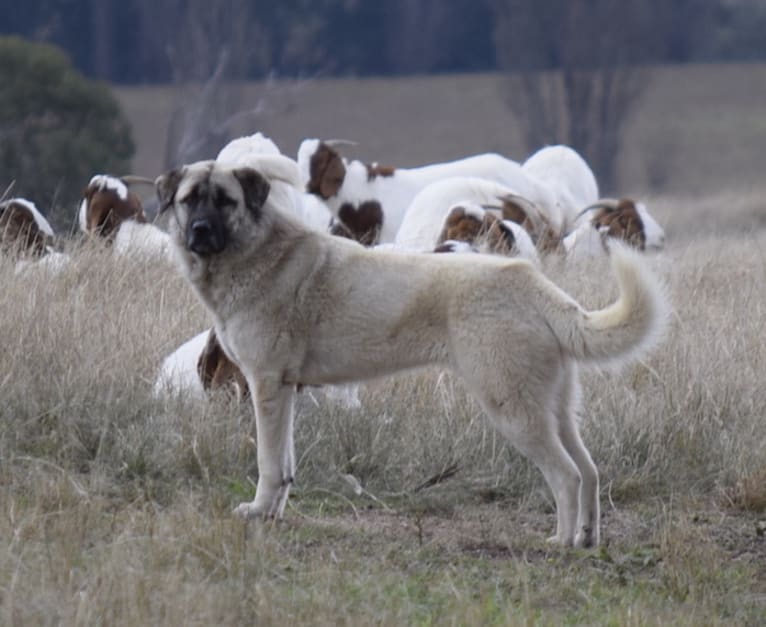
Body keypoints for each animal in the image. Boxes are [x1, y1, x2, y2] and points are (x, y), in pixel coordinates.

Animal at [154, 157, 664, 548]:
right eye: (189, 200)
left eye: (225, 200)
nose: (200, 230)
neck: (255, 252)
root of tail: (532, 283)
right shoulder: (287, 392)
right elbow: (286, 466)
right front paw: (275, 513)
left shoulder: (265, 387)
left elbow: (267, 462)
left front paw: (258, 511)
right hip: (552, 408)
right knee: (589, 470)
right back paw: (586, 538)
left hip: (514, 410)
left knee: (567, 475)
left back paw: (560, 542)